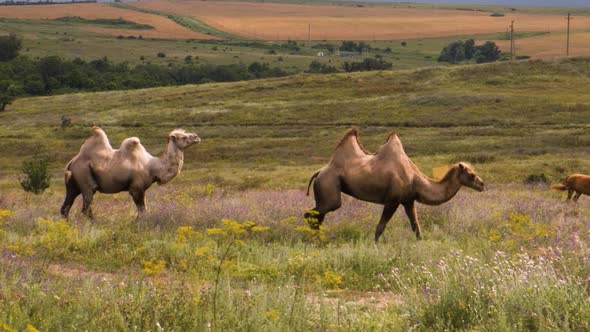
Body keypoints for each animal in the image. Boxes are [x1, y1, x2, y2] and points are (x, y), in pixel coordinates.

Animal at [61, 126, 201, 218]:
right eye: (183, 136)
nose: (196, 136)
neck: (153, 167)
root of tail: (71, 163)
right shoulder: (136, 187)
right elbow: (142, 211)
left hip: (73, 184)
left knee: (65, 207)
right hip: (84, 177)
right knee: (86, 205)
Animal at [306, 129, 486, 241]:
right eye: (471, 174)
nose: (482, 184)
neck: (415, 179)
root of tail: (319, 171)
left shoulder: (408, 201)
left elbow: (416, 226)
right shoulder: (393, 200)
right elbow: (380, 227)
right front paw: (375, 246)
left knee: (317, 215)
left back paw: (317, 239)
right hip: (329, 184)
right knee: (312, 213)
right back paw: (313, 239)